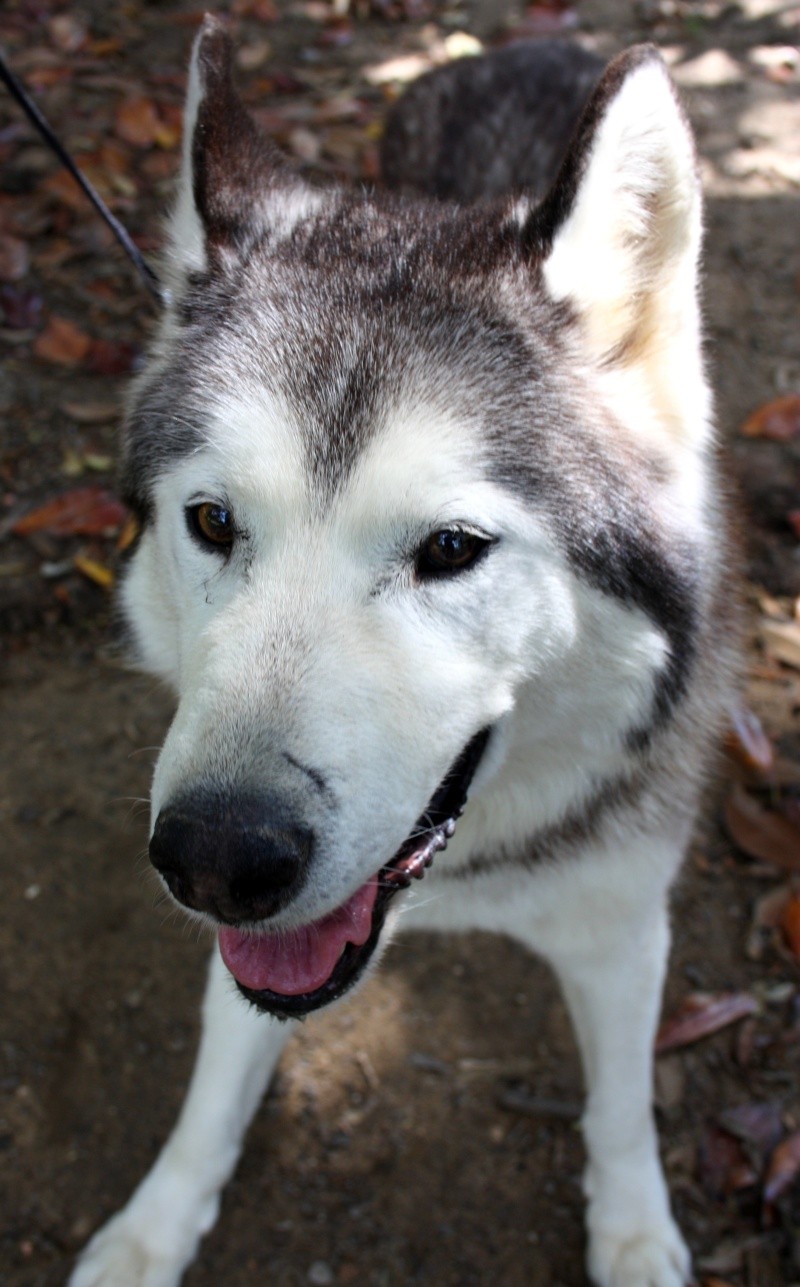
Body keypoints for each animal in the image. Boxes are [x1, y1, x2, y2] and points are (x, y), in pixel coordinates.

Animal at [73, 20, 740, 1287]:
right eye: (213, 522)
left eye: (451, 549)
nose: (216, 859)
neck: (461, 879)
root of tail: (531, 33)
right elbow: (209, 1099)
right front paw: (148, 1231)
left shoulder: (623, 927)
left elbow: (622, 1113)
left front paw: (632, 1235)